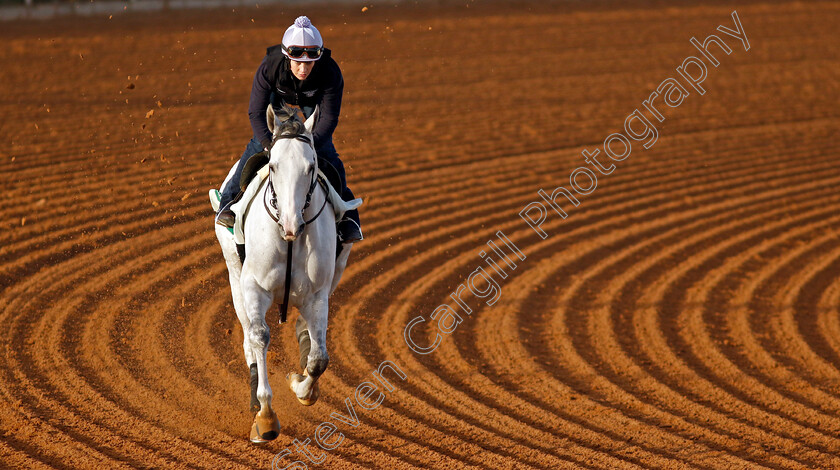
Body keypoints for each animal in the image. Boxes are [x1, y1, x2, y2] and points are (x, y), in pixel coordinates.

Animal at [213, 103, 354, 444]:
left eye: (311, 166)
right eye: (274, 166)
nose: (291, 224)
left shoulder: (318, 294)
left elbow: (319, 358)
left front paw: (301, 386)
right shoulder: (253, 287)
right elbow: (259, 336)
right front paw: (264, 415)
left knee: (308, 334)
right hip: (235, 278)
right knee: (248, 338)